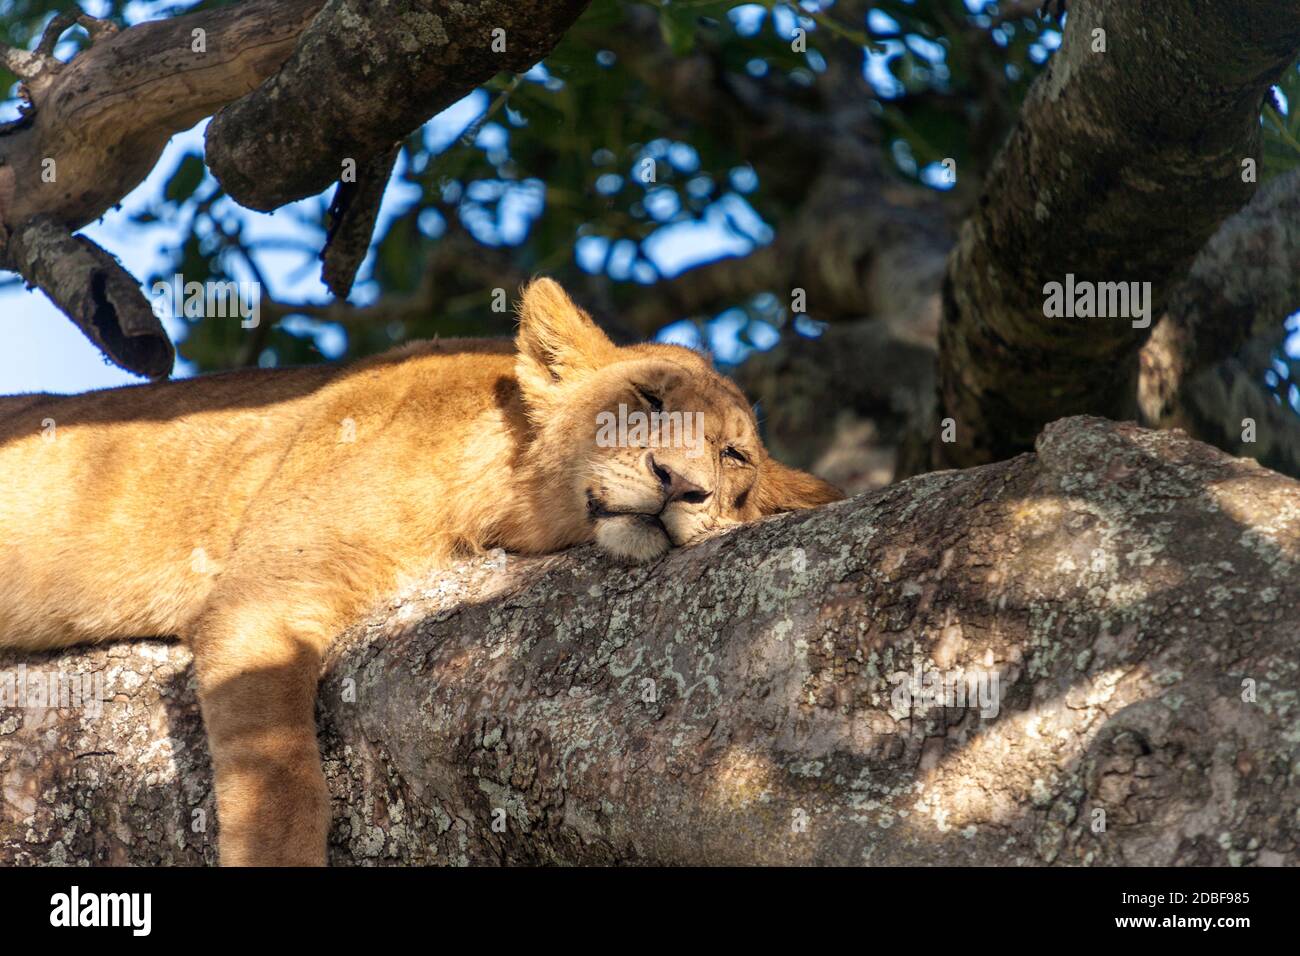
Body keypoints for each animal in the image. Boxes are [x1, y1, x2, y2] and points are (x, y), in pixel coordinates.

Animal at [0, 277, 842, 868]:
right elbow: (282, 784)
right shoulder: (261, 599)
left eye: (733, 455)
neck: (498, 488)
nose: (680, 484)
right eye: (647, 398)